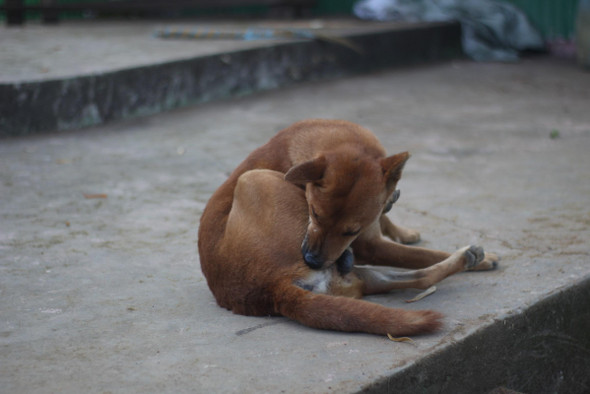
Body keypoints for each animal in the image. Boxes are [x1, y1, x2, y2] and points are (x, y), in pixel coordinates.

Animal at [199, 117, 500, 336]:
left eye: (350, 231)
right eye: (314, 213)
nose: (312, 260)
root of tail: (273, 290)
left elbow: (389, 218)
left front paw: (401, 229)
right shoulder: (371, 246)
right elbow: (422, 254)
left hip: (360, 279)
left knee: (422, 279)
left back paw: (468, 258)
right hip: (252, 179)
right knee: (421, 273)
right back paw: (474, 258)